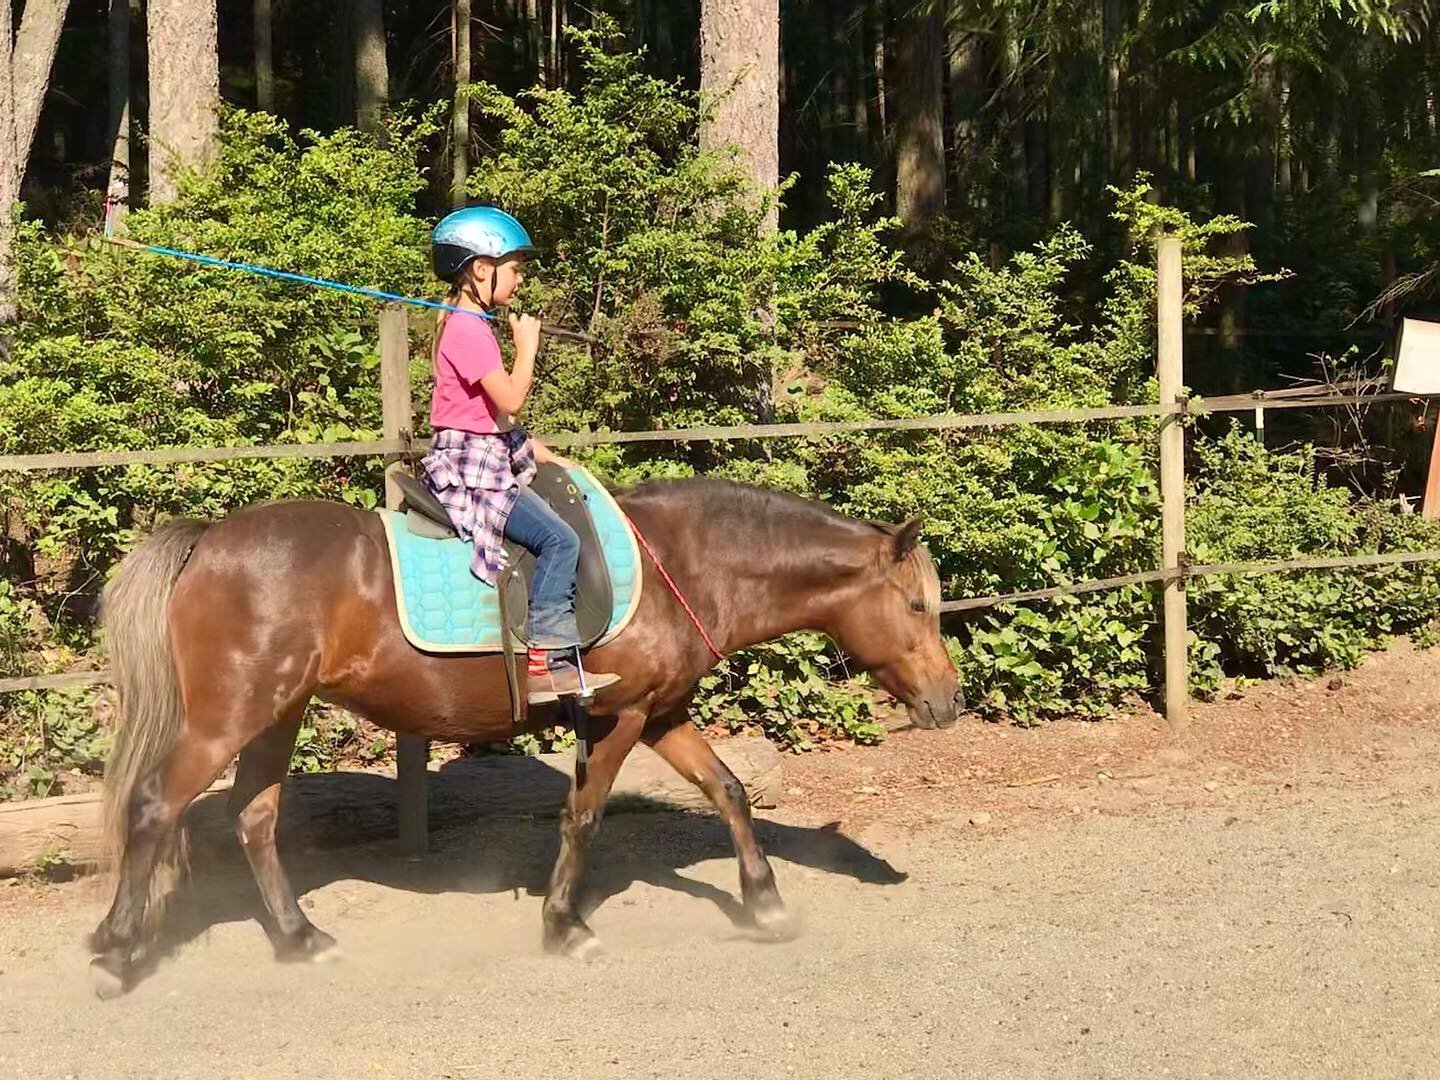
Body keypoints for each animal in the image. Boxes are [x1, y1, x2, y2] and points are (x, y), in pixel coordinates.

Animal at [92, 478, 967, 1002]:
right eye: (915, 606)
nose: (950, 701)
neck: (684, 564)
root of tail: (209, 540)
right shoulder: (617, 718)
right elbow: (583, 818)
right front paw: (565, 927)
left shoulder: (663, 713)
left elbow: (730, 790)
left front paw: (766, 903)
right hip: (228, 717)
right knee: (154, 807)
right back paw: (117, 949)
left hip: (276, 714)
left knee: (254, 818)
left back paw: (302, 939)